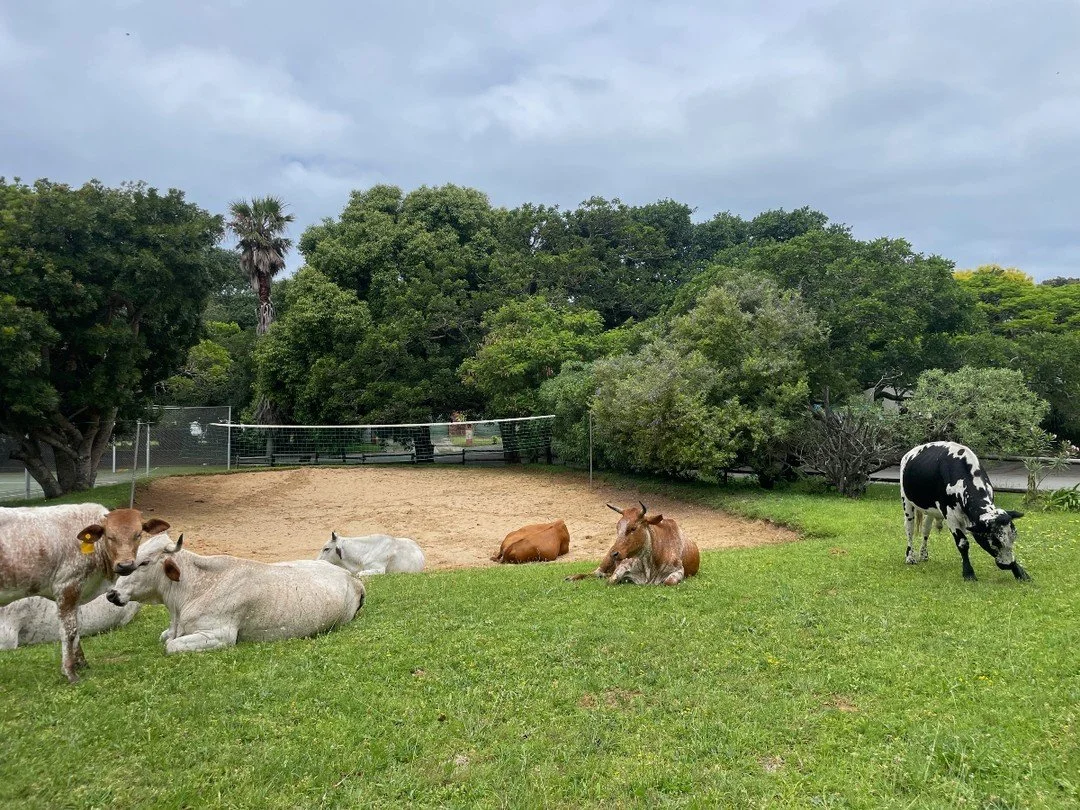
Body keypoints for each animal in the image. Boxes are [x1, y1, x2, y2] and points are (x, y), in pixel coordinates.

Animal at [106, 534, 365, 654]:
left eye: (144, 563)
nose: (111, 594)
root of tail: (351, 578)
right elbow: (165, 638)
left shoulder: (219, 635)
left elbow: (170, 646)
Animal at [900, 441, 1028, 582]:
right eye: (995, 542)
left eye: (1014, 538)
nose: (1008, 564)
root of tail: (910, 452)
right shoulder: (950, 516)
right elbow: (963, 543)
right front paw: (969, 573)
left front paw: (1020, 572)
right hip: (906, 502)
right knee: (909, 529)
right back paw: (910, 557)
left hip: (930, 510)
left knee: (925, 530)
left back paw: (923, 555)